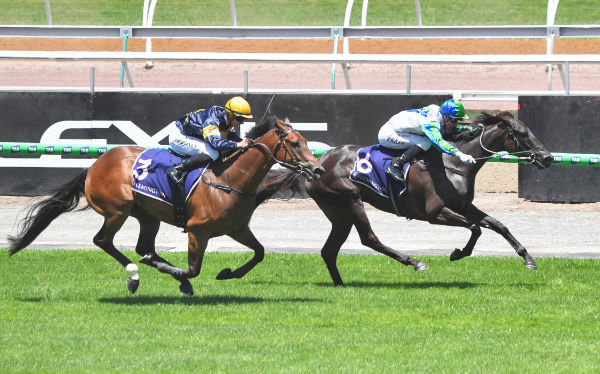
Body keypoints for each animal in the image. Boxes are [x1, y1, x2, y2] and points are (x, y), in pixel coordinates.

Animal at [8, 115, 324, 294]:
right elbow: (193, 269)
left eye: (307, 141)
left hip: (148, 215)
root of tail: (96, 164)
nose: (318, 169)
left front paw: (228, 273)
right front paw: (183, 277)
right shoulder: (198, 230)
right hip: (117, 210)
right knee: (104, 241)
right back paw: (134, 275)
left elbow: (259, 252)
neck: (229, 179)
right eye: (295, 143)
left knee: (143, 247)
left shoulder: (237, 228)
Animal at [254, 111, 552, 286]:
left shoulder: (463, 205)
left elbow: (498, 225)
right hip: (350, 200)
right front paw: (458, 253)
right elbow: (476, 228)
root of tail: (318, 162)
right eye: (522, 134)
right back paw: (414, 261)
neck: (452, 163)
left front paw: (528, 259)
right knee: (369, 239)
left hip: (338, 213)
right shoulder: (434, 213)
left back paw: (340, 284)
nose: (548, 157)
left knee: (329, 250)